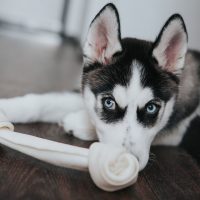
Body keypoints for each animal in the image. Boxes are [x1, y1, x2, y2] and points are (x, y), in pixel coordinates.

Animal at [0, 3, 200, 170]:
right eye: (109, 103)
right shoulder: (88, 91)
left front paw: (78, 122)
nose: (130, 161)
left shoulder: (178, 132)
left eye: (151, 108)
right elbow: (43, 102)